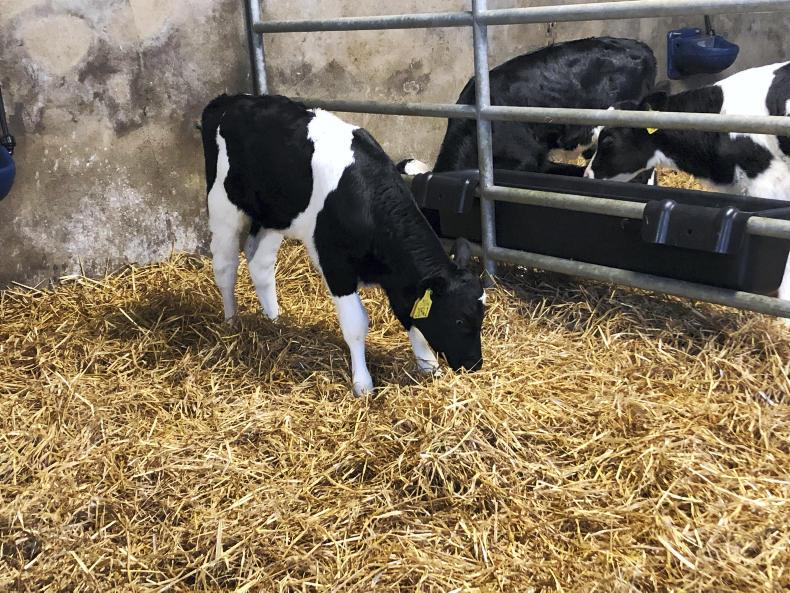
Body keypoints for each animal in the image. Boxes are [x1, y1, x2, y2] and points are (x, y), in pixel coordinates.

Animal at [200, 94, 486, 396]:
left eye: (482, 317)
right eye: (459, 320)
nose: (474, 364)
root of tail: (229, 100)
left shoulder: (400, 279)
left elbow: (409, 316)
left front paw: (428, 365)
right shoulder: (336, 265)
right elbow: (356, 324)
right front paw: (363, 382)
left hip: (275, 217)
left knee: (260, 265)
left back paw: (274, 321)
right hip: (223, 205)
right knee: (225, 267)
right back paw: (231, 322)